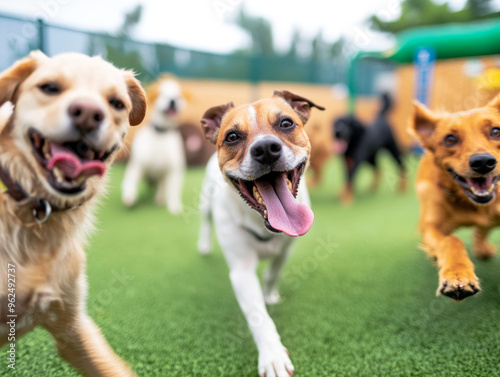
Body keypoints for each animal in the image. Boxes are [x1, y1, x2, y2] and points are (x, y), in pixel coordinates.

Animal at [197, 90, 322, 376]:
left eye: (286, 123)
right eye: (232, 137)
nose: (265, 149)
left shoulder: (285, 252)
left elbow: (273, 273)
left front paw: (270, 294)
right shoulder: (242, 272)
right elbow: (258, 316)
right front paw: (273, 355)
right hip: (204, 203)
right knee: (204, 222)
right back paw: (204, 245)